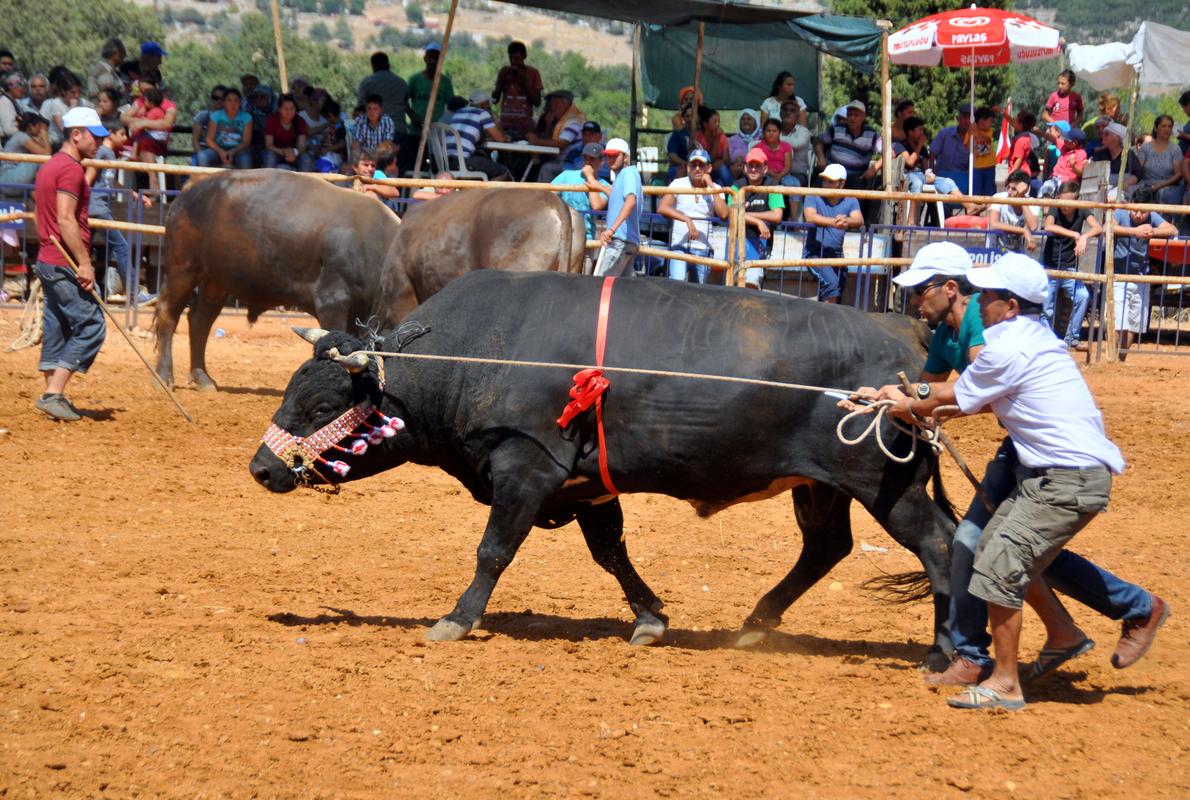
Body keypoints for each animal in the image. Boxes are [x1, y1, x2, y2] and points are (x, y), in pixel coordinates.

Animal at [155, 171, 584, 391]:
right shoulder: (334, 302)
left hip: (212, 278)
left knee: (198, 320)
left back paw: (199, 377)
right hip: (184, 267)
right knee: (172, 316)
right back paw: (167, 376)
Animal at [249, 271, 956, 669]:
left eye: (320, 406)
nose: (260, 468)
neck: (477, 353)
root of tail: (904, 332)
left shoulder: (526, 467)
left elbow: (493, 550)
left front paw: (456, 618)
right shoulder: (588, 485)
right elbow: (611, 553)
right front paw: (650, 619)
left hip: (884, 484)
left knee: (939, 545)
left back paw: (944, 649)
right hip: (822, 486)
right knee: (829, 546)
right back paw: (757, 624)